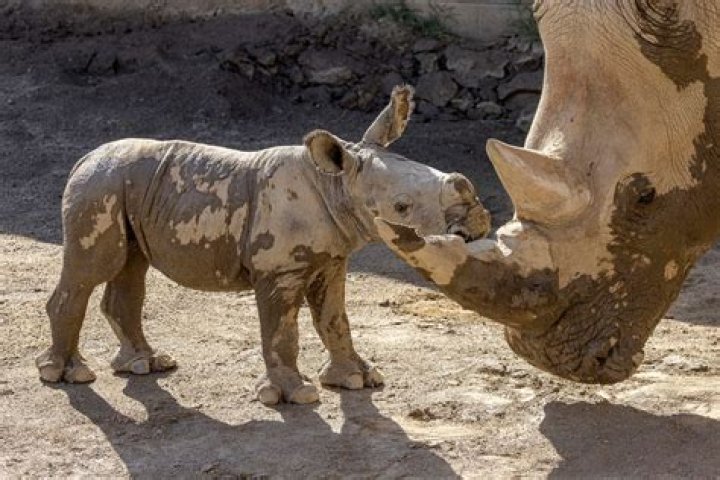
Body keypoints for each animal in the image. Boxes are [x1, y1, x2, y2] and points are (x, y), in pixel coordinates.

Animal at [35, 86, 490, 404]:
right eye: (402, 206)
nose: (477, 218)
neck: (336, 183)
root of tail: (83, 159)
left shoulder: (332, 259)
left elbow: (335, 318)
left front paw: (357, 379)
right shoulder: (279, 270)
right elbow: (281, 330)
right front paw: (296, 395)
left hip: (124, 186)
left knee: (130, 267)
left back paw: (144, 365)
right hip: (99, 187)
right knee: (92, 269)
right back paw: (66, 375)